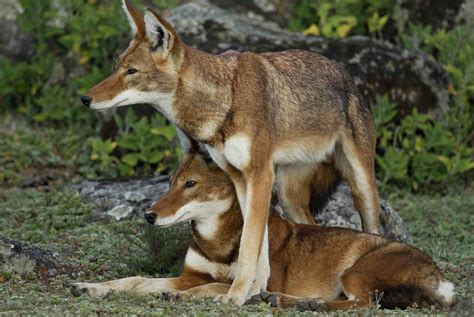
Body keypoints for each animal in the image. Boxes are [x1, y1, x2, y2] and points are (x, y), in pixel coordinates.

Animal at [71, 149, 456, 310]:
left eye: (190, 184)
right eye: (169, 184)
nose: (149, 215)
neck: (216, 240)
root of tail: (442, 278)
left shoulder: (235, 279)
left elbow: (216, 287)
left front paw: (184, 297)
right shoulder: (187, 275)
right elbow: (133, 281)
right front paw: (89, 287)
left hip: (354, 272)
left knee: (363, 305)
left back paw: (306, 305)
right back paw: (289, 302)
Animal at [80, 0, 382, 304]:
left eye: (131, 71)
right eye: (116, 67)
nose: (85, 98)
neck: (225, 100)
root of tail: (346, 75)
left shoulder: (260, 175)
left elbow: (249, 245)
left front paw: (235, 296)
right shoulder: (240, 178)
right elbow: (257, 246)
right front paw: (255, 290)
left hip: (361, 186)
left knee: (374, 231)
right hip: (288, 196)